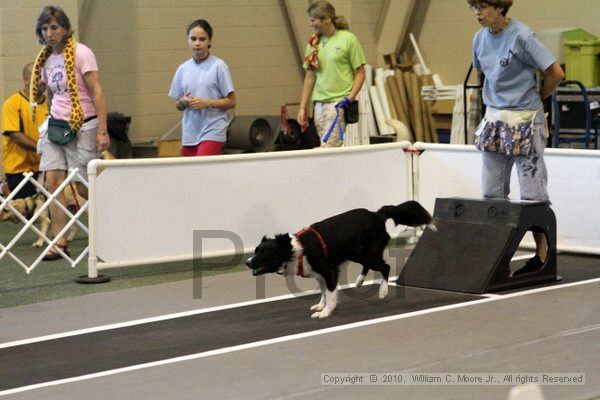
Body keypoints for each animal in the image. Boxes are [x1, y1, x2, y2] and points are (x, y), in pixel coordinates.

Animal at [245, 202, 436, 320]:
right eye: (255, 250)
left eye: (264, 253)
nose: (247, 262)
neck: (295, 250)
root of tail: (377, 215)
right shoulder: (319, 275)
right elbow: (323, 292)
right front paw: (320, 306)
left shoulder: (329, 271)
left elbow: (330, 293)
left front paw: (325, 312)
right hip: (356, 253)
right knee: (370, 266)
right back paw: (359, 281)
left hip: (369, 254)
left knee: (386, 267)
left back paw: (383, 291)